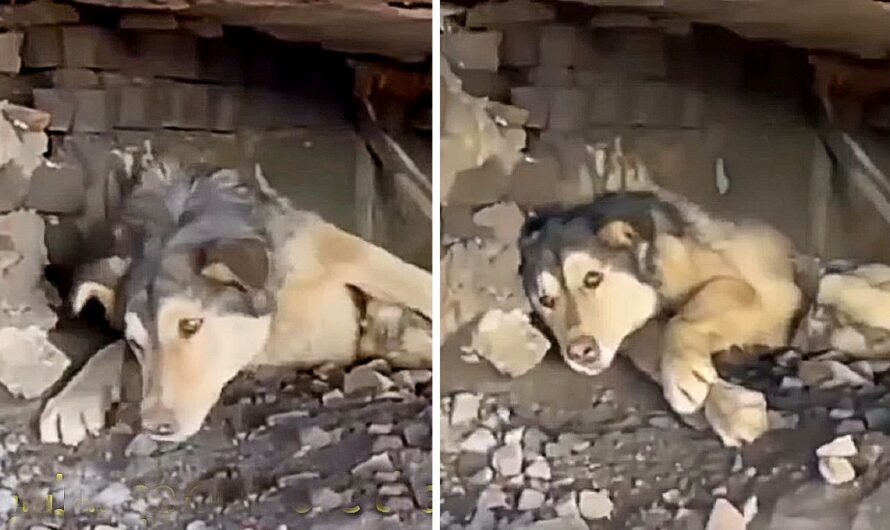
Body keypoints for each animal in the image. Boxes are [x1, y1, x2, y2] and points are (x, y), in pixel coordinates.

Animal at [40, 159, 432, 444]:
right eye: (136, 343)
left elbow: (411, 280)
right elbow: (109, 349)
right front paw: (73, 399)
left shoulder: (339, 250)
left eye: (190, 325)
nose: (153, 428)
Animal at [516, 188, 800, 414]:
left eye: (592, 278)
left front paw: (682, 375)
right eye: (546, 300)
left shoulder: (752, 291)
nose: (579, 352)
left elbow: (682, 319)